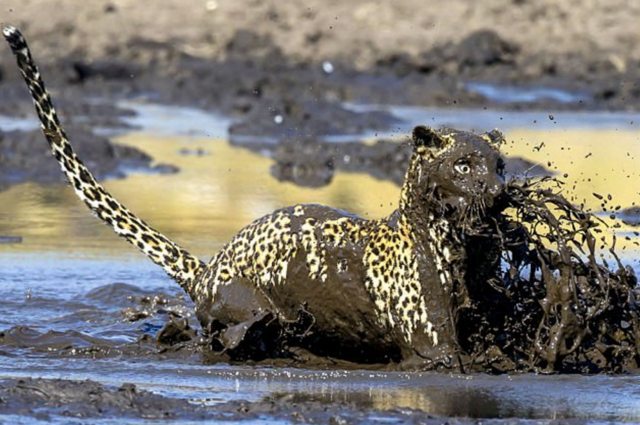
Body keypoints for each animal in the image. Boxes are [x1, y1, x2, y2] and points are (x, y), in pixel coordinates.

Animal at [3, 24, 504, 366]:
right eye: (463, 165)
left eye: (498, 164)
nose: (498, 190)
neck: (445, 241)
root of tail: (207, 267)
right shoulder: (432, 350)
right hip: (252, 306)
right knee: (231, 333)